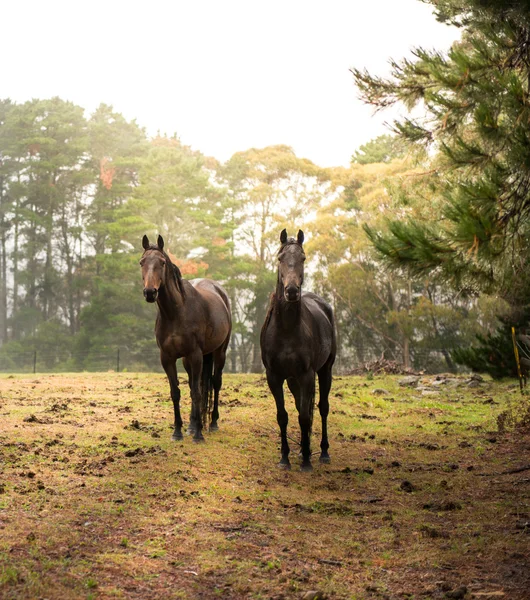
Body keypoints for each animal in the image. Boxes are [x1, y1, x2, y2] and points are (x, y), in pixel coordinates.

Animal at [140, 234, 231, 440]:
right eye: (142, 262)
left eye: (162, 262)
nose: (150, 292)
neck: (176, 312)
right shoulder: (167, 358)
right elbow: (177, 392)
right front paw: (178, 431)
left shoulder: (195, 355)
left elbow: (197, 393)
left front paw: (198, 435)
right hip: (188, 361)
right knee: (193, 385)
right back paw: (192, 425)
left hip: (219, 352)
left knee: (215, 383)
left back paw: (212, 423)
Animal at [258, 229, 334, 468]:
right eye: (280, 258)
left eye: (303, 258)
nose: (291, 291)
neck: (287, 329)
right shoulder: (274, 376)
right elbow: (283, 416)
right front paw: (285, 458)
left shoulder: (307, 375)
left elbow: (305, 416)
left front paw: (307, 462)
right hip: (292, 380)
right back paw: (302, 449)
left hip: (325, 370)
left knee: (322, 407)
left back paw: (322, 452)